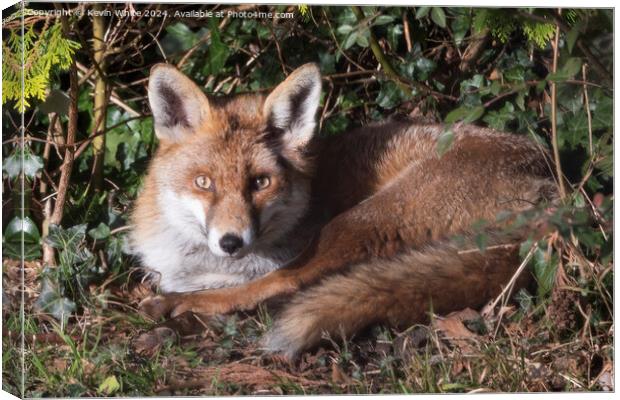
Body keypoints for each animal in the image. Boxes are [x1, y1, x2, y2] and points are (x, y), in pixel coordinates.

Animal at [132, 63, 556, 360]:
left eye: (260, 182)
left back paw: (180, 308)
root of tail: (554, 188)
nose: (232, 242)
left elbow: (257, 283)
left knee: (289, 283)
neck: (196, 264)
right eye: (203, 182)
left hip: (363, 221)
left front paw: (188, 303)